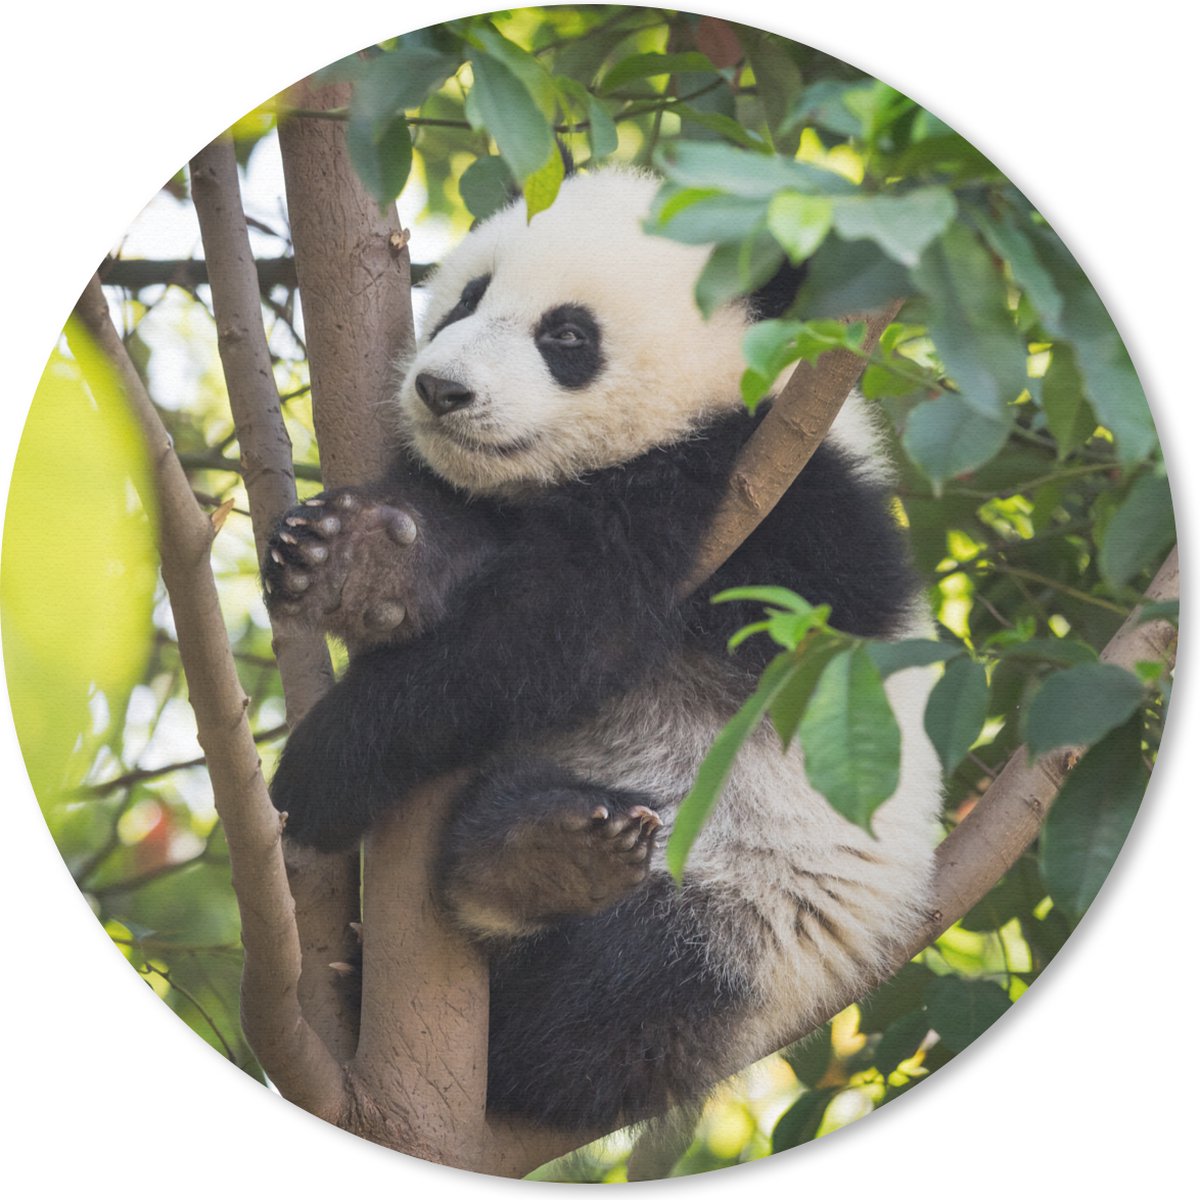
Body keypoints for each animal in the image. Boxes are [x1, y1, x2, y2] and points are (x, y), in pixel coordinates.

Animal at [264, 167, 943, 1132]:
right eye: (467, 299)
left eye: (567, 337)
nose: (440, 390)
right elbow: (482, 549)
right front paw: (359, 560)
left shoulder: (755, 493)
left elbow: (551, 632)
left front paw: (321, 771)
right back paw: (538, 845)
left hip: (755, 912)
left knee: (603, 1005)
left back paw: (535, 873)